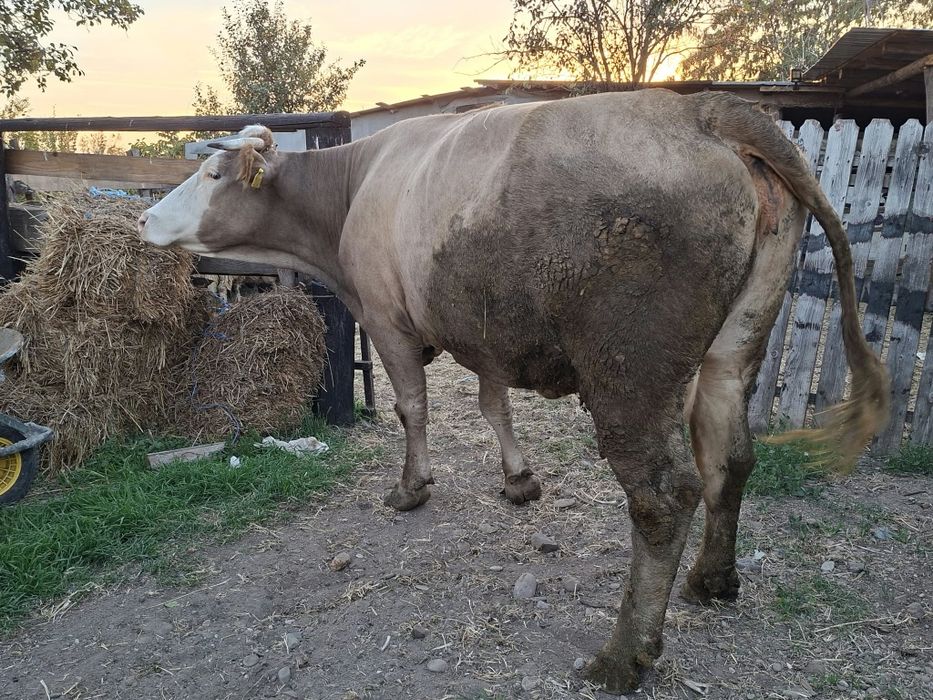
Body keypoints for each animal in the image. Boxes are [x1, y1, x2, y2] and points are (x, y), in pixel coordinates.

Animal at [138, 90, 889, 693]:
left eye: (211, 174)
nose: (143, 222)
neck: (353, 190)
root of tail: (701, 107)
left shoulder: (385, 318)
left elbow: (413, 406)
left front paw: (411, 488)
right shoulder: (484, 331)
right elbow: (492, 404)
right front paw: (518, 480)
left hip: (630, 371)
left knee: (663, 494)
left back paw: (622, 657)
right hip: (732, 350)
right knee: (729, 457)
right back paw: (712, 580)